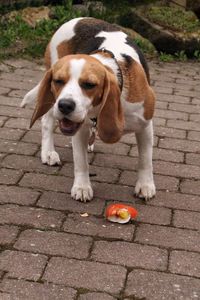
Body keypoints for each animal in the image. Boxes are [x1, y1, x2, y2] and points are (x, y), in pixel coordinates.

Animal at [21, 17, 156, 203]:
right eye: (58, 81)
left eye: (90, 85)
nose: (65, 105)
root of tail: (79, 19)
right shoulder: (79, 129)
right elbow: (80, 162)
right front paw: (82, 187)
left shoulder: (145, 125)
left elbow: (145, 160)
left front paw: (145, 185)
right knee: (47, 122)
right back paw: (48, 152)